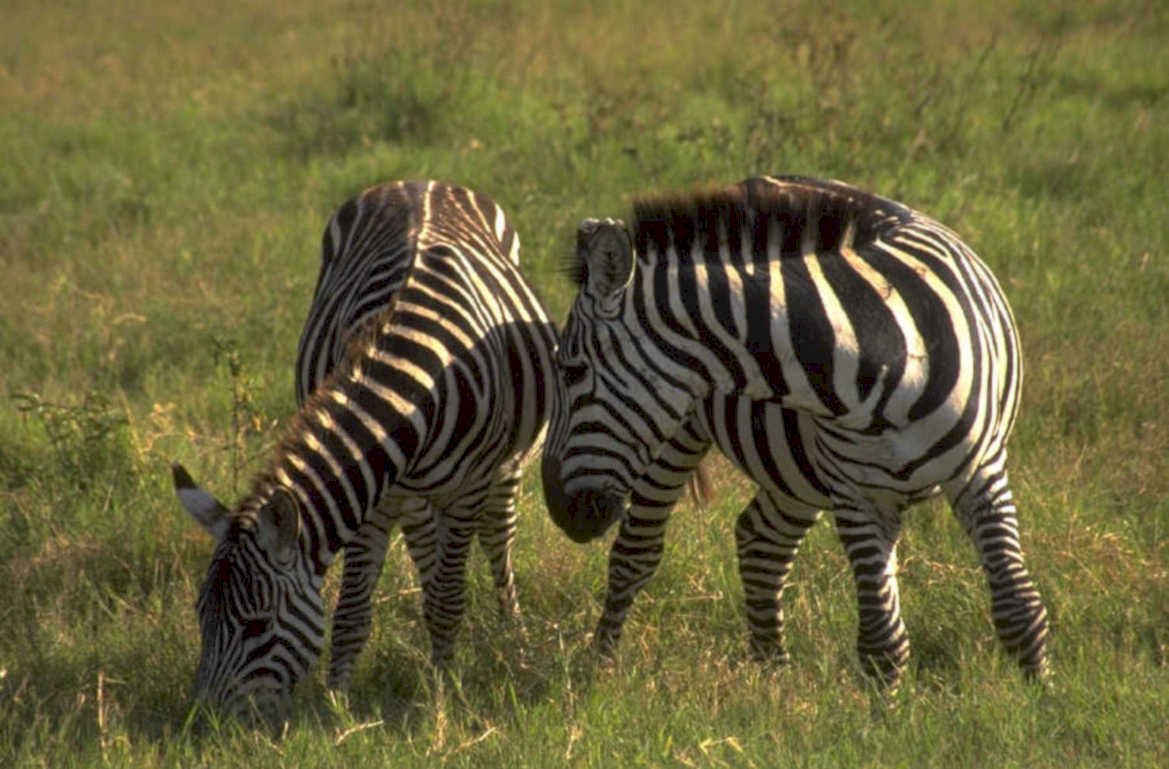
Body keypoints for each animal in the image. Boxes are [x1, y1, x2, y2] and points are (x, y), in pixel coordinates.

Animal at [172, 180, 557, 721]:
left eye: (257, 625)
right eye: (201, 616)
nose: (202, 720)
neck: (418, 381)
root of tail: (421, 181)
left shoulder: (465, 490)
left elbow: (449, 600)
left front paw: (443, 693)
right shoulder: (374, 496)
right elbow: (353, 608)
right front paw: (337, 704)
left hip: (504, 473)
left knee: (497, 544)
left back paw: (511, 636)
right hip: (412, 496)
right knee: (428, 554)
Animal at [542, 175, 1050, 688]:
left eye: (571, 371)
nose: (559, 512)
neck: (882, 355)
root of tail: (761, 179)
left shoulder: (982, 472)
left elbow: (1019, 611)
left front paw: (1039, 697)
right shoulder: (857, 494)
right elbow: (882, 643)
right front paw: (887, 711)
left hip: (795, 470)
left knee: (760, 541)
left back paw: (773, 678)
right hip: (691, 440)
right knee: (638, 552)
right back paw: (601, 668)